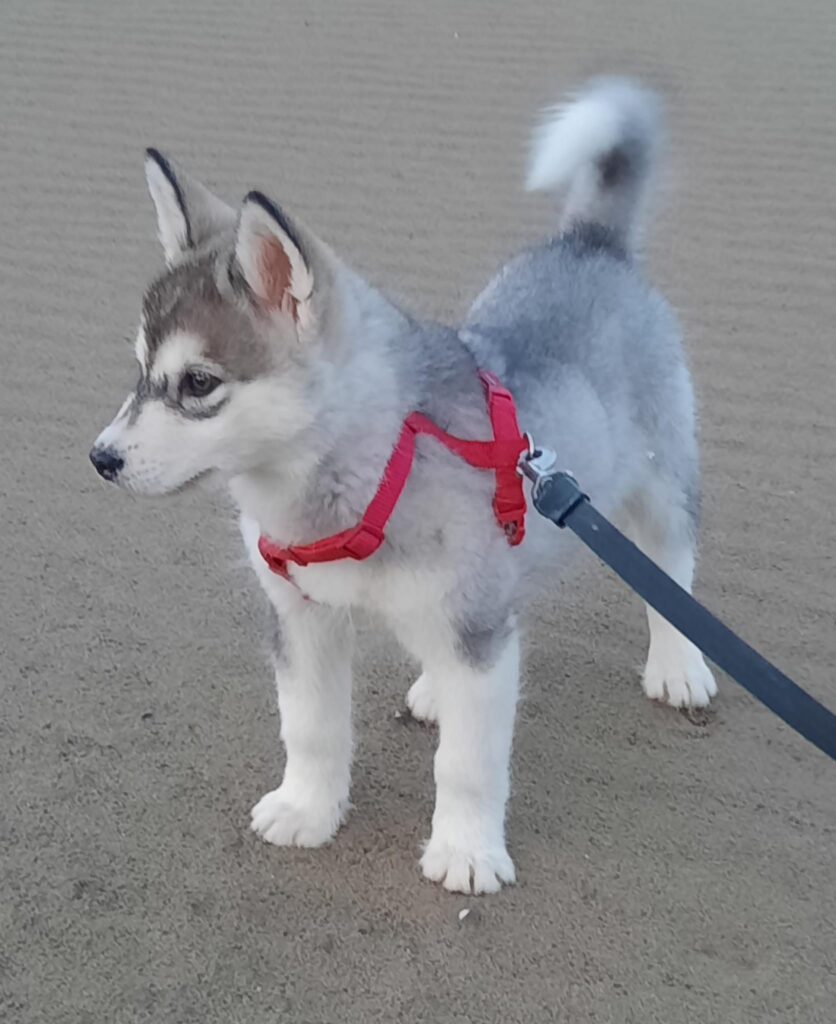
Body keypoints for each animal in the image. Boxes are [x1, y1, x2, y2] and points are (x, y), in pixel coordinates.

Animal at [93, 79, 717, 892]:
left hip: (656, 481)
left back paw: (679, 663)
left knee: (670, 566)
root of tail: (590, 244)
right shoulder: (299, 617)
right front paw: (308, 807)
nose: (101, 458)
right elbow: (311, 727)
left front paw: (466, 850)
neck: (366, 471)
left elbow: (468, 763)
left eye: (198, 384)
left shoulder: (475, 627)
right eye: (140, 369)